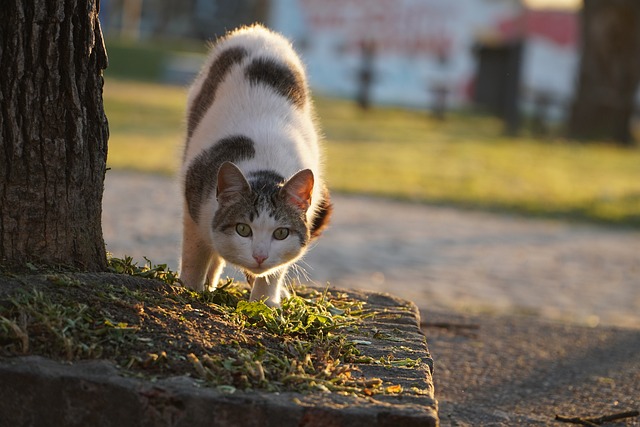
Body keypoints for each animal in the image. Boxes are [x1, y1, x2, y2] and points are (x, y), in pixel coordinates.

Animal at [179, 24, 332, 308]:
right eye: (243, 229)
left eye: (281, 233)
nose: (259, 256)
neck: (264, 171)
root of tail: (258, 30)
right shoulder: (193, 202)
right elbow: (195, 253)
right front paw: (190, 286)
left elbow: (274, 272)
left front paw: (265, 302)